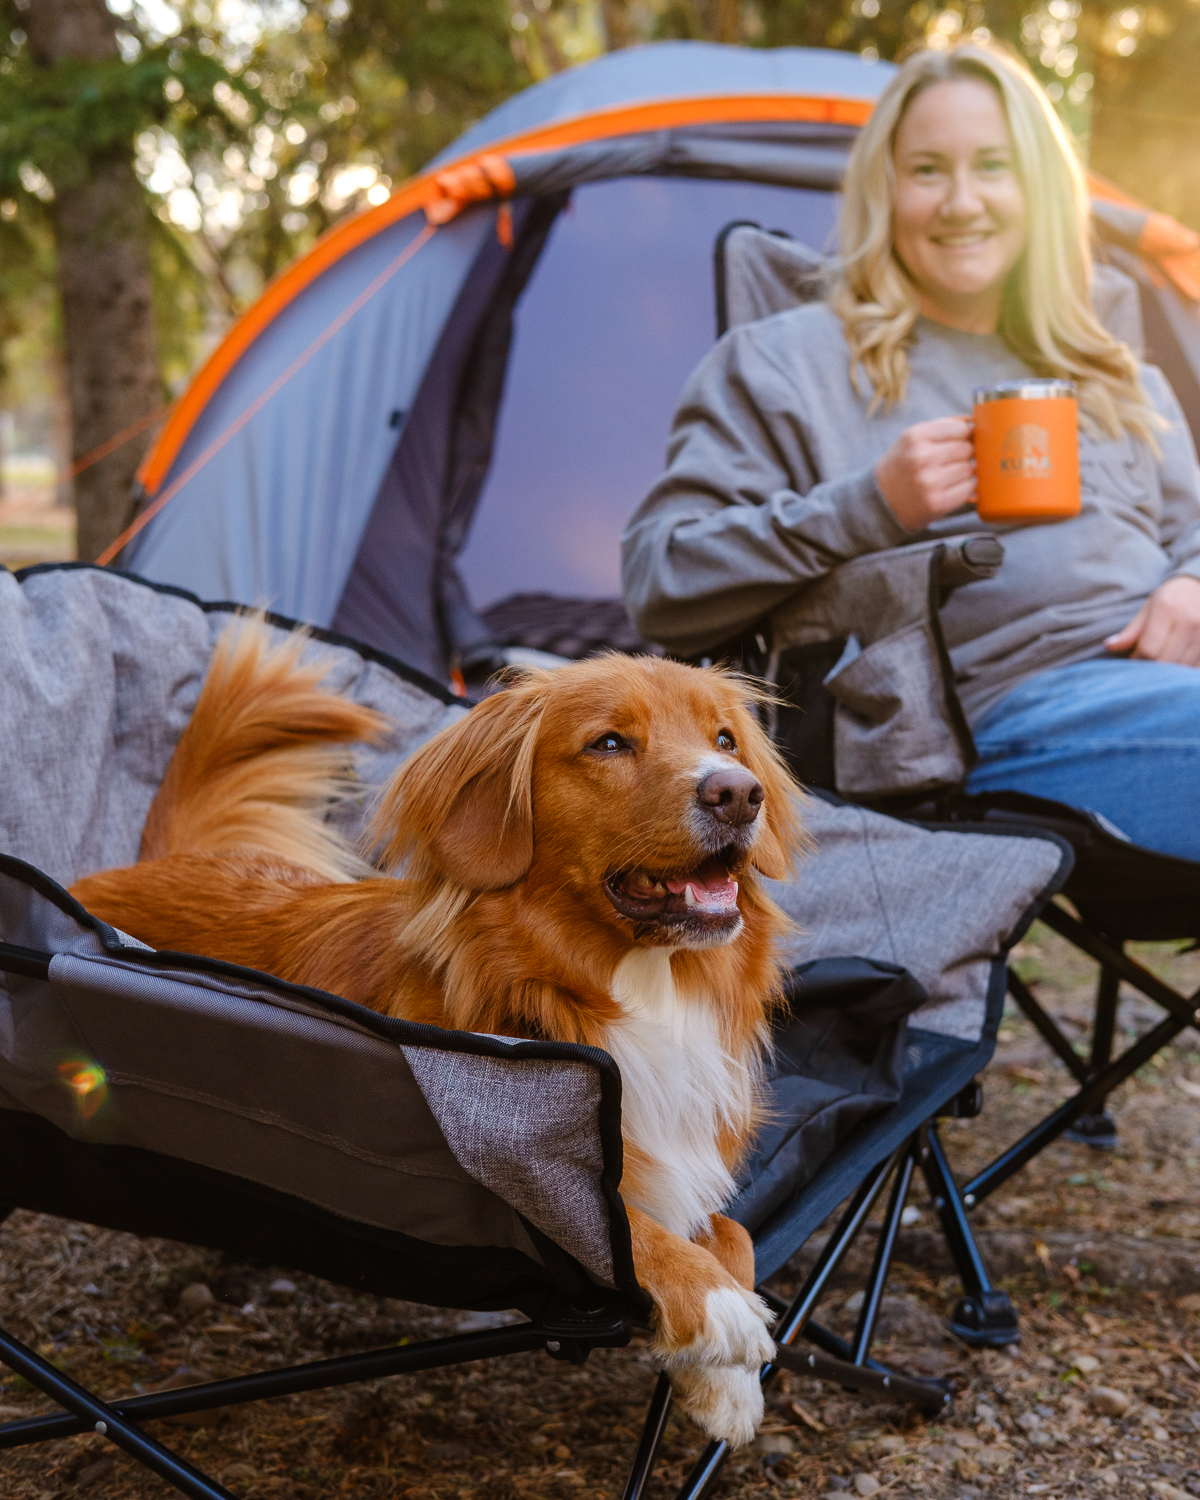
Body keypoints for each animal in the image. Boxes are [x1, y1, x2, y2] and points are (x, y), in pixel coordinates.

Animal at [72, 618, 804, 1440]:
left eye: (726, 739)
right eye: (610, 744)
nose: (739, 792)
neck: (624, 990)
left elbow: (732, 1232)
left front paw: (724, 1384)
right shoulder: (475, 1180)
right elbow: (622, 1231)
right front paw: (721, 1312)